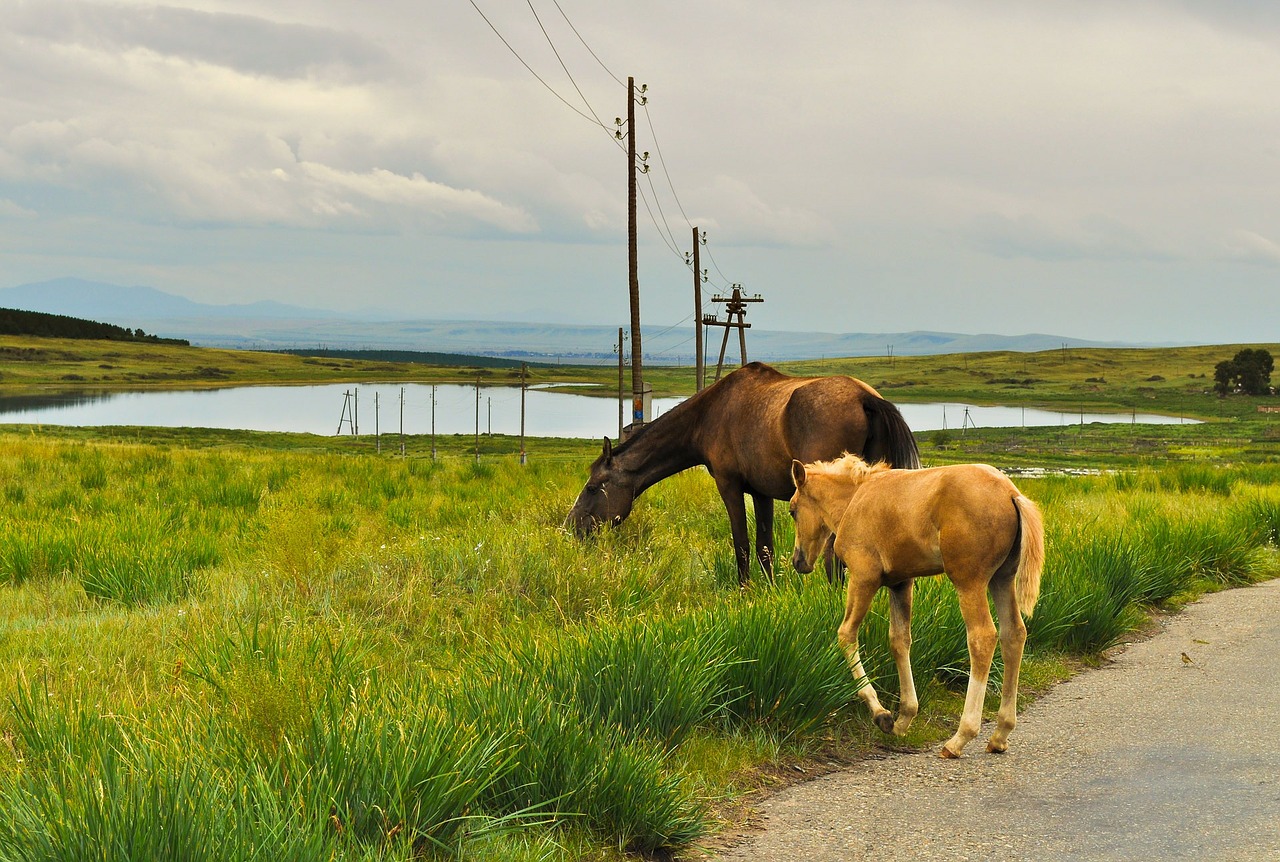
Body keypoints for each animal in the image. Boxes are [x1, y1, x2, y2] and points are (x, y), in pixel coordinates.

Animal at [565, 358, 916, 581]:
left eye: (592, 488)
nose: (570, 528)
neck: (710, 414)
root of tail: (865, 397)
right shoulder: (761, 493)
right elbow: (765, 549)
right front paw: (770, 592)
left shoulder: (730, 487)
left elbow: (742, 546)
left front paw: (745, 592)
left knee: (834, 559)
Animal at [783, 453, 1044, 758]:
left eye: (793, 510)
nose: (799, 561)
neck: (854, 500)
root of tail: (1011, 493)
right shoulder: (900, 583)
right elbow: (899, 640)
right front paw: (903, 717)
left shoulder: (863, 577)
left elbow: (846, 635)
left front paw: (881, 714)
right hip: (1002, 579)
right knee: (1013, 634)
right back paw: (1000, 733)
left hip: (970, 581)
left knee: (982, 637)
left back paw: (960, 737)